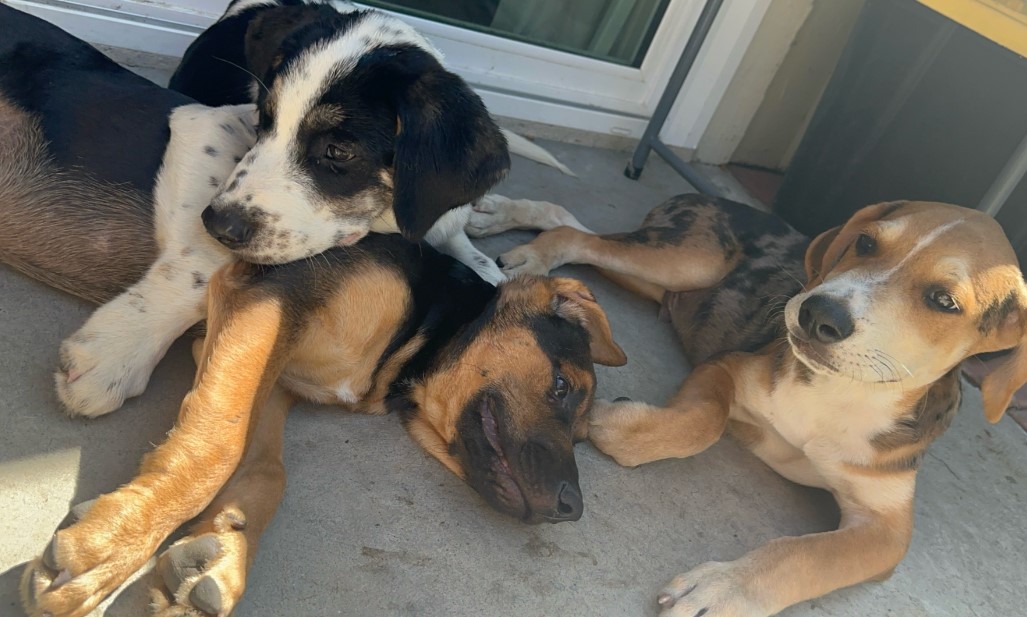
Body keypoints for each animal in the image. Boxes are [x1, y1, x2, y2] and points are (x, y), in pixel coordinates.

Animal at [468, 195, 1027, 615]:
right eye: (867, 242)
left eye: (944, 301)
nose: (817, 313)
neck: (842, 392)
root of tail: (709, 196)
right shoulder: (730, 367)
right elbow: (706, 420)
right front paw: (612, 421)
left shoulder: (888, 528)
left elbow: (807, 556)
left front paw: (720, 591)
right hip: (688, 259)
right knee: (581, 239)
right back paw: (526, 252)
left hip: (666, 278)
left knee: (588, 233)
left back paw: (499, 212)